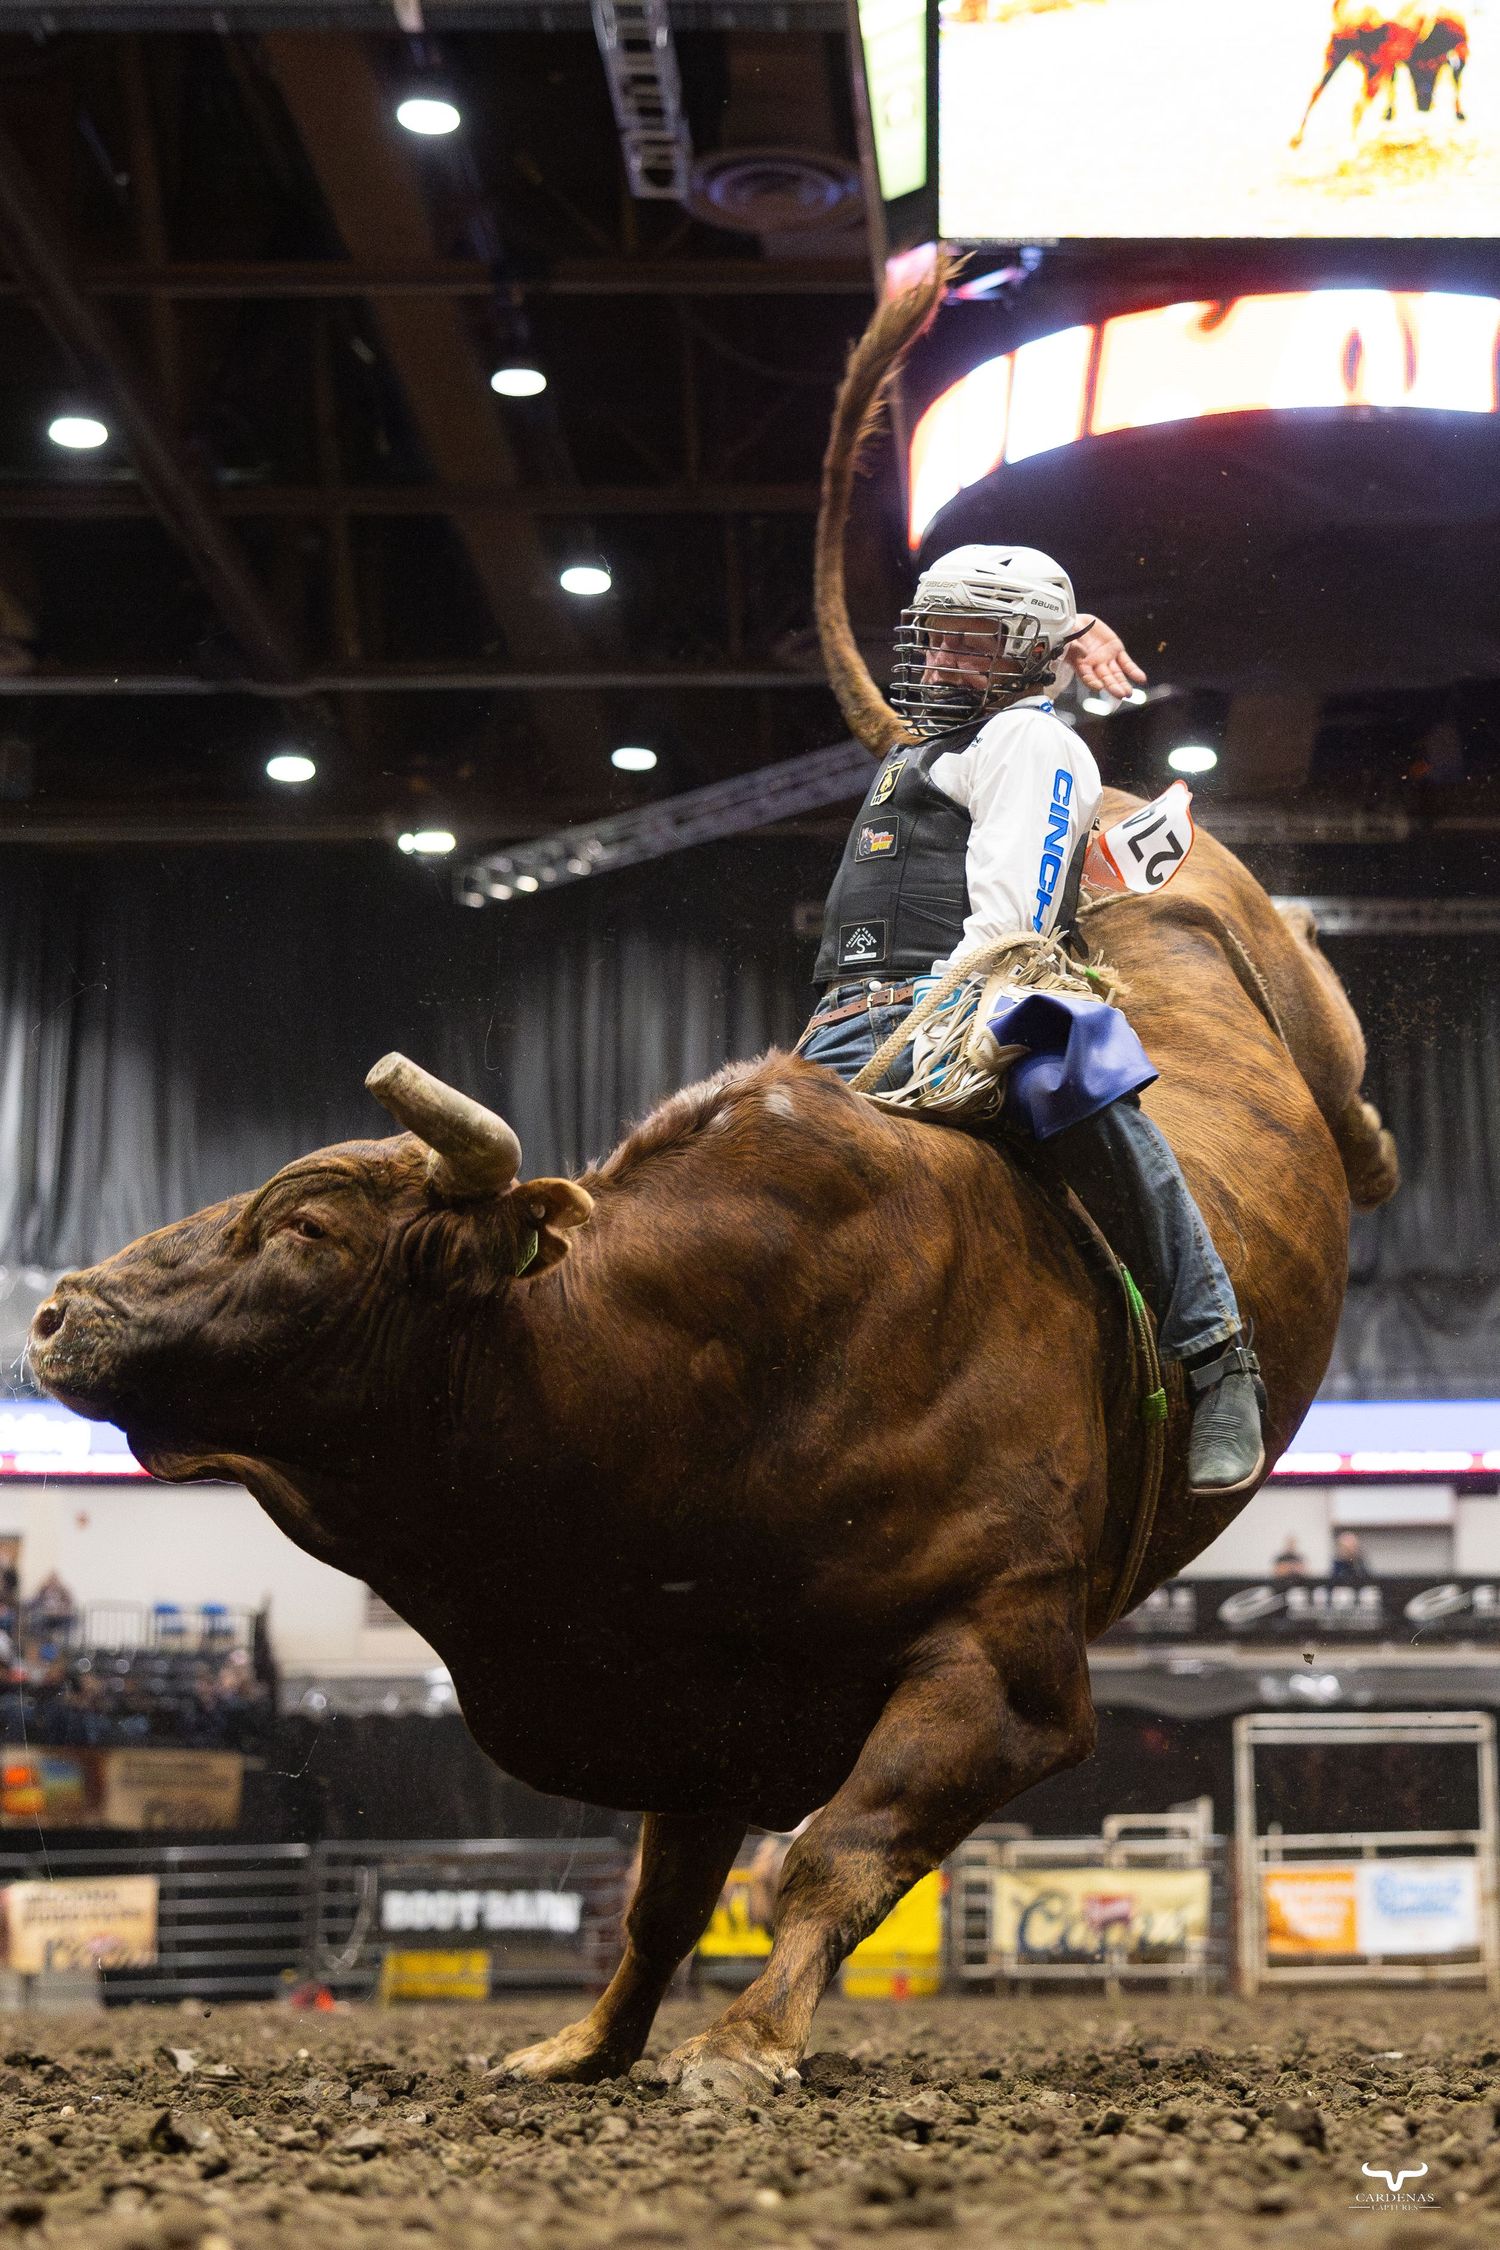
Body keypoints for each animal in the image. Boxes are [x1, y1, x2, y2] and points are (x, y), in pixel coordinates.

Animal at [29, 268, 1396, 2102]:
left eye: (306, 1228)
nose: (62, 1311)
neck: (691, 1362)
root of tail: (1117, 814)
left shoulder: (1011, 1668)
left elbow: (832, 1851)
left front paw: (744, 2046)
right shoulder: (694, 1698)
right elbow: (668, 1892)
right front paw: (588, 2042)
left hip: (1297, 990)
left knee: (1349, 1088)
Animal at [1292, 1, 1468, 148]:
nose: (1424, 107)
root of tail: (1354, 18)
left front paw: (1389, 114)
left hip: (1336, 58)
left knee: (1315, 93)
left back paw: (1297, 138)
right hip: (1374, 69)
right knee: (1357, 106)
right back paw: (1353, 145)